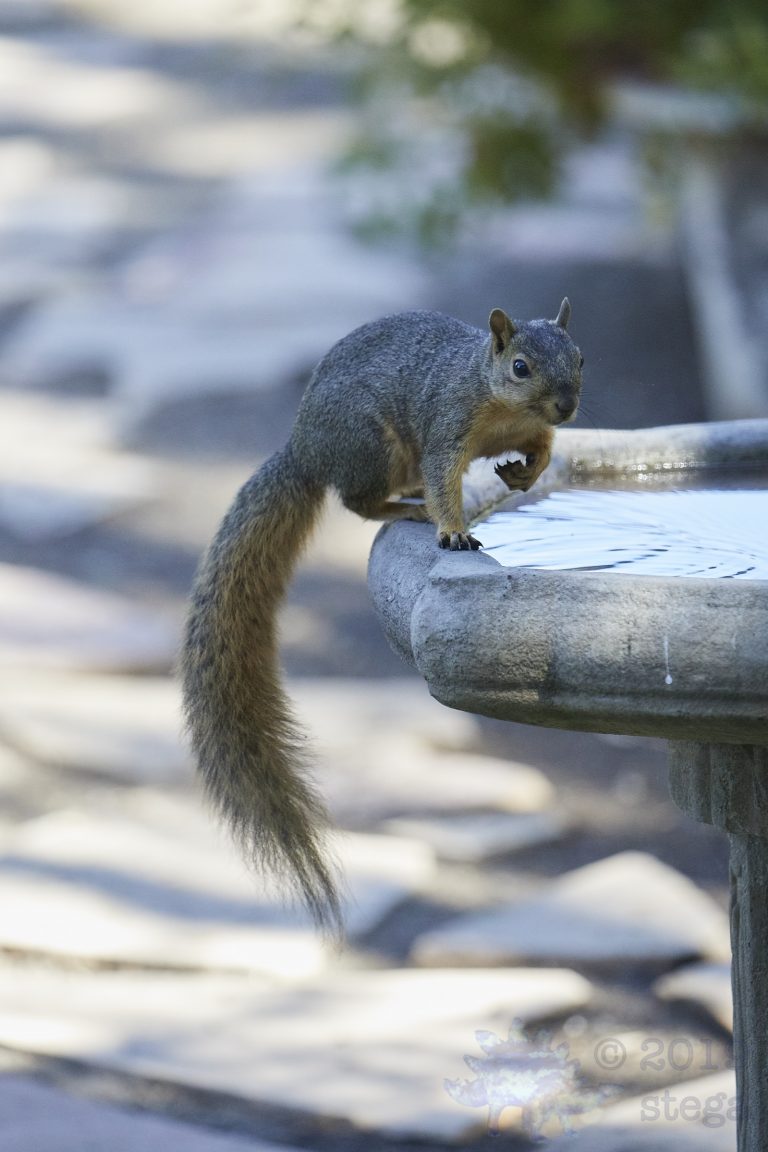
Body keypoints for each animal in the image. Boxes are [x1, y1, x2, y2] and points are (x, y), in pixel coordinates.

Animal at [181, 299, 582, 936]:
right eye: (520, 367)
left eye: (581, 357)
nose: (567, 405)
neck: (499, 404)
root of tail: (304, 449)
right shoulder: (447, 426)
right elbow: (445, 481)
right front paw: (453, 531)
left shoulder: (534, 430)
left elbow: (543, 451)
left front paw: (523, 472)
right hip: (374, 445)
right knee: (360, 502)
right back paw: (408, 509)